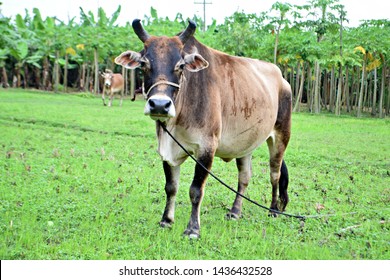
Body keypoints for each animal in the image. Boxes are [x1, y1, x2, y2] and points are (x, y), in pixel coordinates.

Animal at [114, 19, 290, 238]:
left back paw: (273, 209)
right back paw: (235, 212)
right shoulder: (168, 149)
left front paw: (192, 229)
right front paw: (166, 220)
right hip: (245, 144)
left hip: (280, 136)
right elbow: (171, 186)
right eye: (144, 64)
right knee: (244, 177)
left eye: (180, 66)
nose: (160, 105)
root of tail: (282, 78)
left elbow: (196, 190)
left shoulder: (207, 147)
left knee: (275, 174)